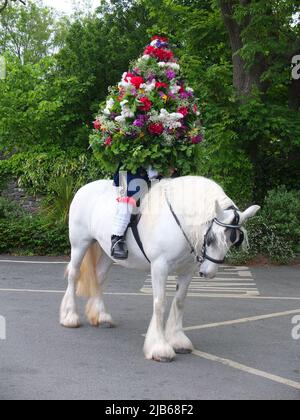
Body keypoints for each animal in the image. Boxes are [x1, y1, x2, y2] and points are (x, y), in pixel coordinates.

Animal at [59, 176, 258, 362]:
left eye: (233, 240)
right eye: (212, 238)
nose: (208, 273)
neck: (180, 221)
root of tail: (84, 188)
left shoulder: (187, 270)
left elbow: (179, 302)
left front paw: (177, 340)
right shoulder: (160, 267)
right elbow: (160, 303)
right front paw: (159, 347)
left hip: (107, 253)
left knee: (99, 277)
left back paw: (101, 316)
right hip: (80, 244)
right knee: (74, 275)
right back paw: (69, 317)